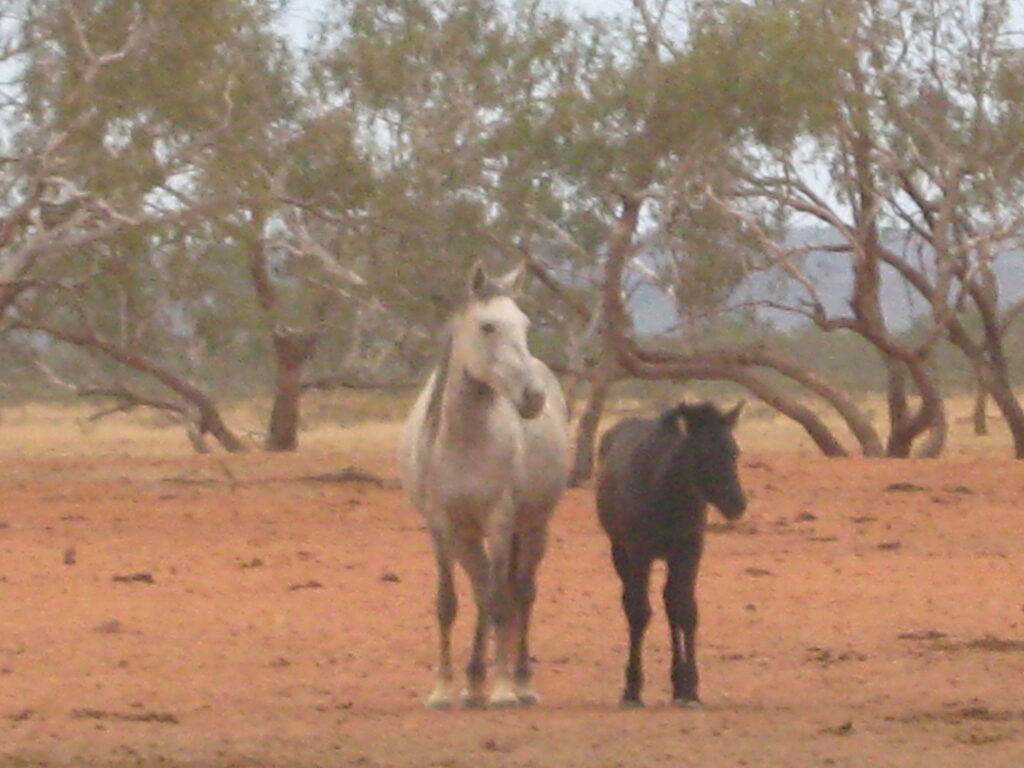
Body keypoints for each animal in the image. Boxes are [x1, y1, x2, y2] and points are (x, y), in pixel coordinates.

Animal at [399, 262, 570, 709]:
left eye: (525, 325)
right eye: (487, 326)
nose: (533, 397)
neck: (463, 441)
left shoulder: (499, 520)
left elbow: (500, 602)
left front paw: (503, 688)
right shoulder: (441, 525)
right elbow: (448, 603)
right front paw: (443, 689)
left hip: (532, 527)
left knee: (520, 593)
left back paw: (520, 682)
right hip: (466, 536)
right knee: (480, 590)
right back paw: (473, 682)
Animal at [595, 401, 747, 708]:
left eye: (734, 451)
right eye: (705, 452)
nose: (737, 503)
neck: (668, 493)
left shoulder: (689, 551)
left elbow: (685, 610)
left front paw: (690, 689)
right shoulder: (639, 552)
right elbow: (639, 612)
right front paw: (632, 688)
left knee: (669, 603)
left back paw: (677, 683)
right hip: (620, 553)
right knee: (631, 602)